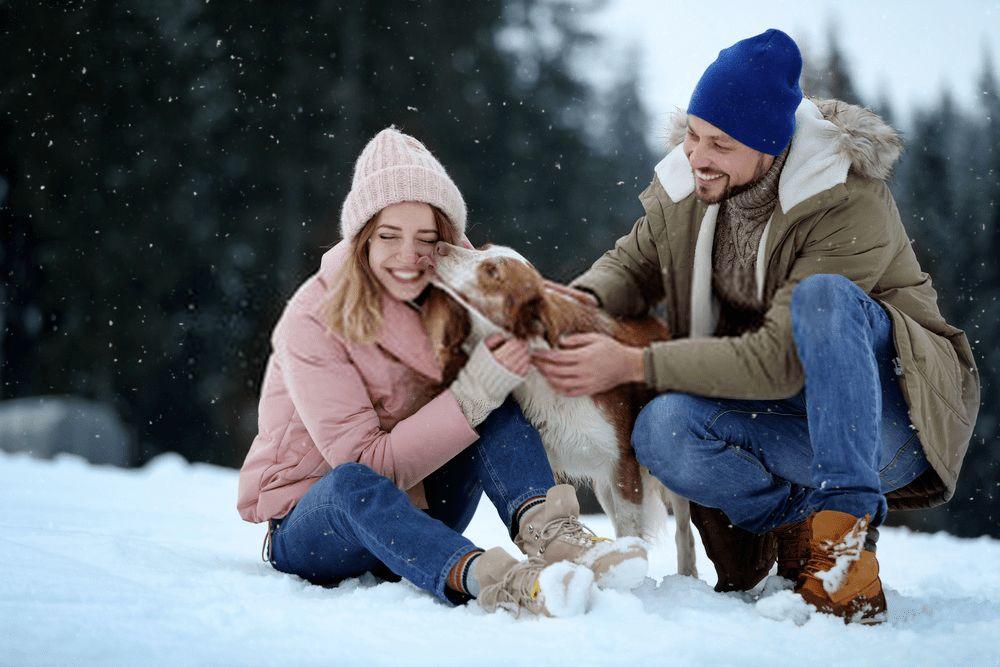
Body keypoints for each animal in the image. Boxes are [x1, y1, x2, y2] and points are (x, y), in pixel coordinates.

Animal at [420, 243, 696, 576]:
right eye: (483, 248)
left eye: (492, 272)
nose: (439, 247)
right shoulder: (556, 462)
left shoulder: (623, 464)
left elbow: (631, 533)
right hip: (603, 486)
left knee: (684, 531)